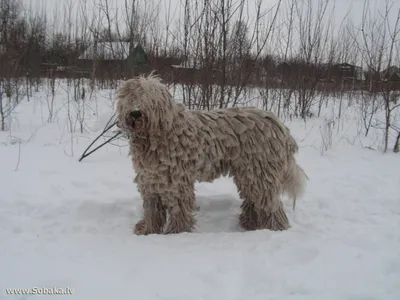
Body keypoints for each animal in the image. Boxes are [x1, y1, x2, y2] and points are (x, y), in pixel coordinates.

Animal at [114, 72, 308, 234]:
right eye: (131, 96)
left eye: (149, 97)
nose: (136, 112)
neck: (157, 136)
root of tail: (279, 126)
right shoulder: (151, 179)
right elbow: (152, 209)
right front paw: (148, 229)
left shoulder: (176, 181)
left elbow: (178, 208)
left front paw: (177, 232)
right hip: (247, 172)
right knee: (254, 199)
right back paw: (250, 224)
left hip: (259, 170)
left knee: (270, 203)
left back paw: (275, 228)